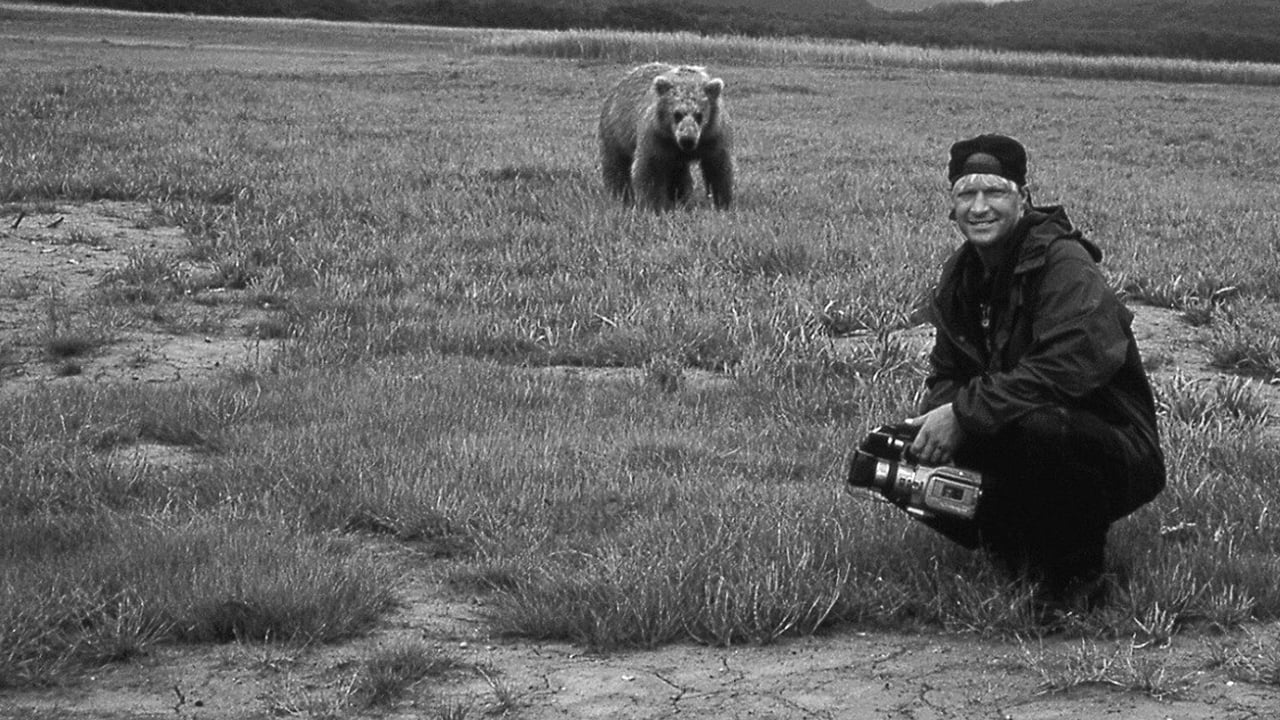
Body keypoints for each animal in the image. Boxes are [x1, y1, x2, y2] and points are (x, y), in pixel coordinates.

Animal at [596, 62, 737, 210]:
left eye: (699, 115)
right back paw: (621, 196)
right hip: (615, 133)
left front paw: (722, 203)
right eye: (677, 114)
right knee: (616, 166)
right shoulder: (656, 137)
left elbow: (719, 168)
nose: (687, 139)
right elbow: (649, 170)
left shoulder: (714, 136)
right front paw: (654, 205)